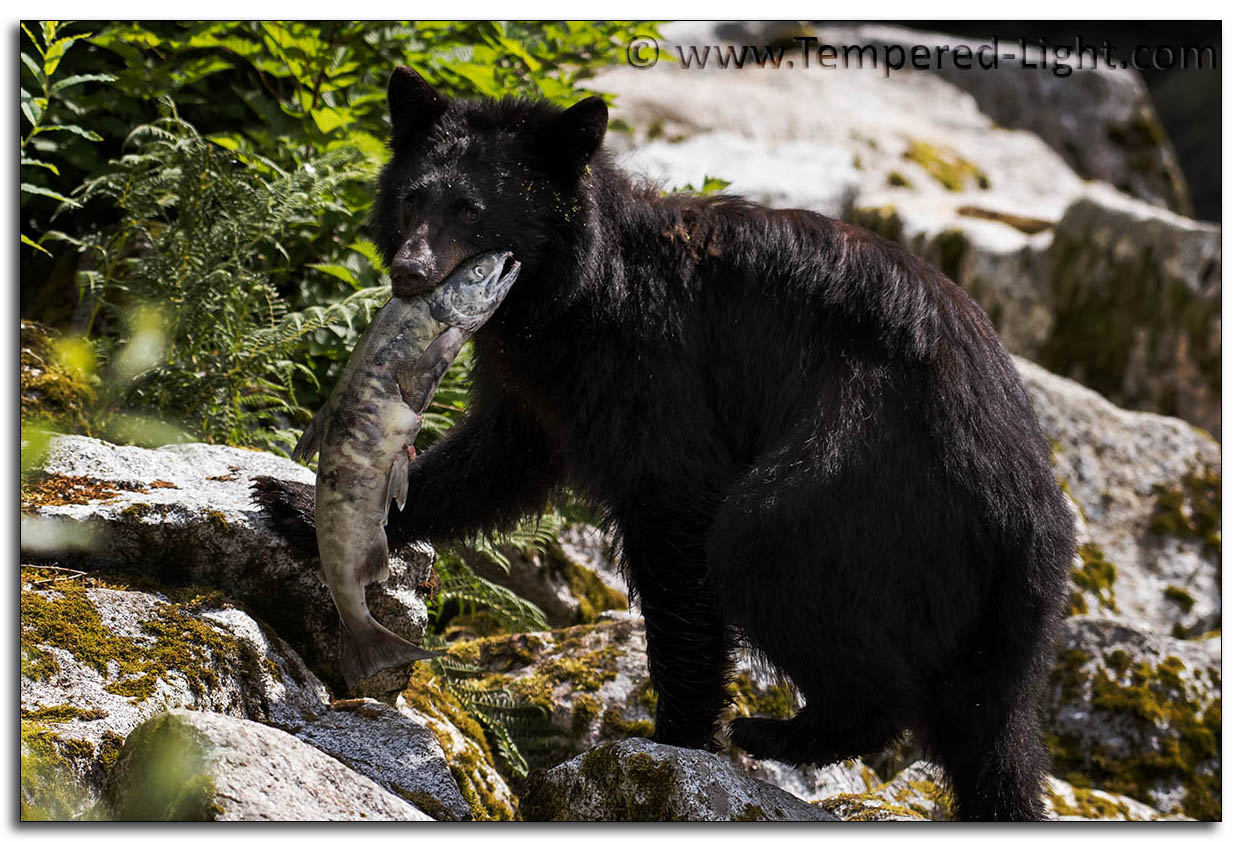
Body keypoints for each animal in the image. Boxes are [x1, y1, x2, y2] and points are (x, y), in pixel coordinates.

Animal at [254, 67, 1078, 824]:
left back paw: (777, 731)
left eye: (473, 209)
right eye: (413, 197)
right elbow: (496, 459)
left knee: (763, 542)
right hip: (997, 617)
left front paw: (674, 738)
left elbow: (673, 510)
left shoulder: (651, 362)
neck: (566, 298)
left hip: (860, 469)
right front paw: (291, 503)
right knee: (992, 736)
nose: (410, 271)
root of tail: (1027, 512)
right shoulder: (539, 383)